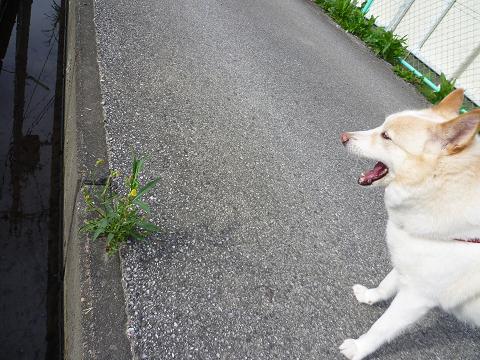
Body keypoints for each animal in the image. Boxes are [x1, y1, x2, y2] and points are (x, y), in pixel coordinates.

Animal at [340, 88, 478, 360]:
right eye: (382, 127)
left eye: (386, 136)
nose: (343, 137)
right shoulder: (412, 255)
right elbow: (387, 283)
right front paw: (370, 296)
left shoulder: (418, 296)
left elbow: (382, 327)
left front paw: (358, 348)